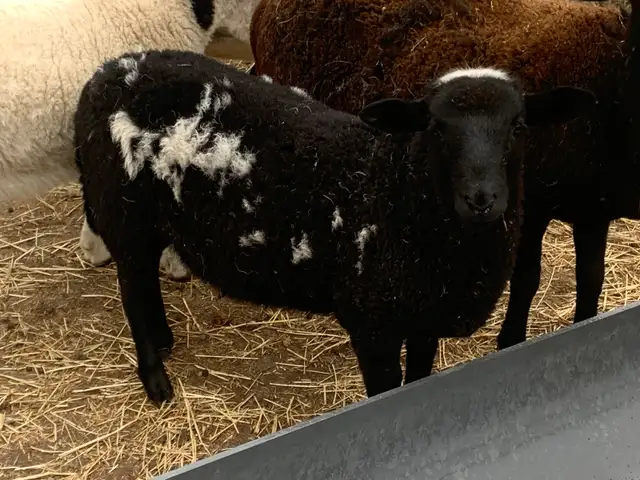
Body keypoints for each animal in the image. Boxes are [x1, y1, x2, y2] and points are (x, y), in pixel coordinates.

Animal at [73, 49, 595, 403]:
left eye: (519, 126)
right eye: (435, 128)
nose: (481, 199)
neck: (396, 191)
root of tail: (104, 75)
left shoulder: (422, 316)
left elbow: (419, 377)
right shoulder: (372, 323)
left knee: (145, 285)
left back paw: (165, 341)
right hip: (123, 212)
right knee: (132, 288)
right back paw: (156, 379)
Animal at [250, 0, 632, 350]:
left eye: (518, 126)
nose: (480, 199)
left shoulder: (592, 211)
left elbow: (591, 280)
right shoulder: (534, 206)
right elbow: (527, 280)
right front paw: (510, 340)